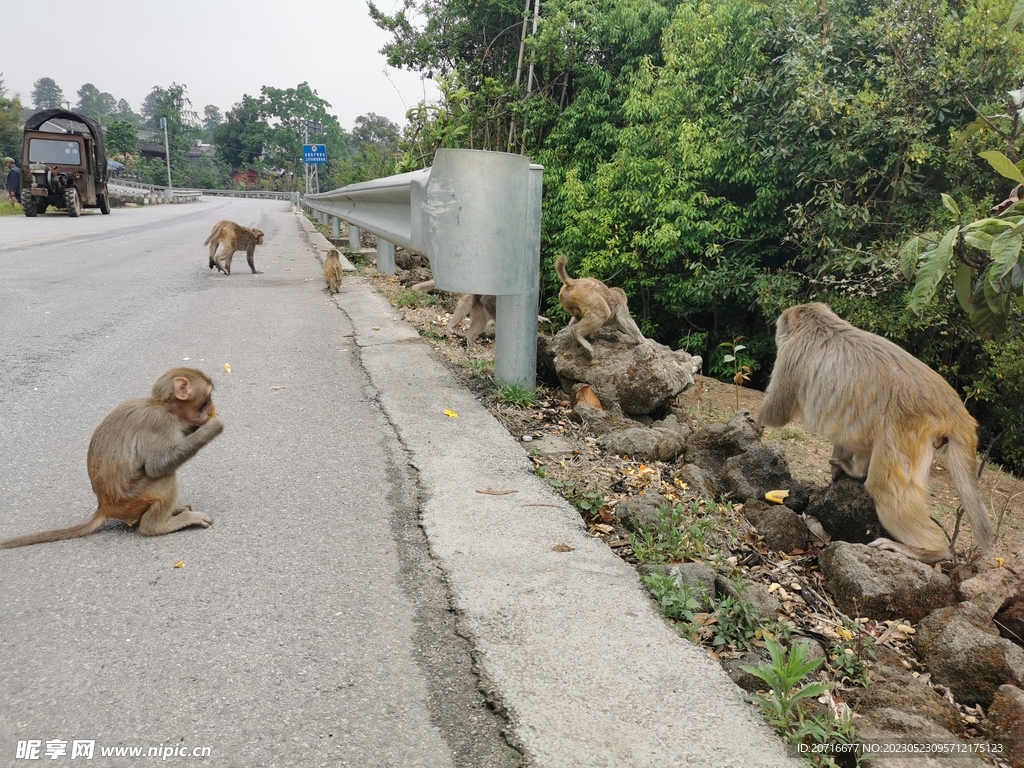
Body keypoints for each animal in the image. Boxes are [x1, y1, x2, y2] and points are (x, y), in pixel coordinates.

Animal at [0, 370, 224, 548]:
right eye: (208, 397)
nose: (212, 405)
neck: (163, 406)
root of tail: (104, 507)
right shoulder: (160, 422)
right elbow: (157, 466)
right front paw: (213, 427)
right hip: (132, 499)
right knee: (164, 477)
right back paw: (158, 526)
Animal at [761, 303, 991, 565]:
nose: (777, 332)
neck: (820, 324)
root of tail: (956, 410)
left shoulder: (792, 356)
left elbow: (774, 414)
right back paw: (857, 471)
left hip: (907, 430)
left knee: (884, 487)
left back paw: (930, 551)